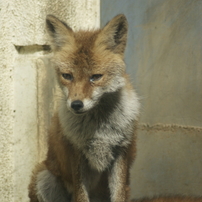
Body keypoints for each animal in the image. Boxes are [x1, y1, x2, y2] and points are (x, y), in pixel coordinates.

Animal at [28, 14, 140, 202]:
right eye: (67, 76)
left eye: (95, 77)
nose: (76, 104)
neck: (99, 128)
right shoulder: (76, 155)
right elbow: (81, 196)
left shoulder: (121, 152)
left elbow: (118, 194)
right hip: (43, 178)